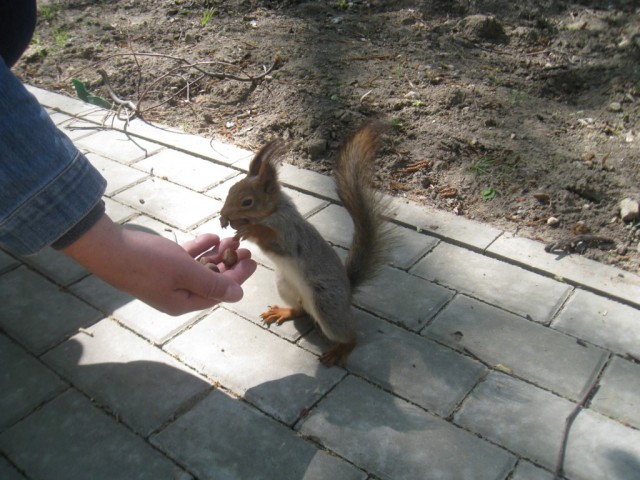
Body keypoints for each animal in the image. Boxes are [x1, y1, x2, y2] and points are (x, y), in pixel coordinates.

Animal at [219, 121, 393, 367]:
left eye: (247, 202)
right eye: (230, 190)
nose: (224, 213)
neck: (273, 212)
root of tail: (348, 292)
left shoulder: (289, 232)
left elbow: (272, 239)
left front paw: (251, 230)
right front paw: (228, 224)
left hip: (326, 304)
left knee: (350, 334)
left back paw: (341, 348)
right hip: (285, 285)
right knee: (300, 310)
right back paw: (284, 312)